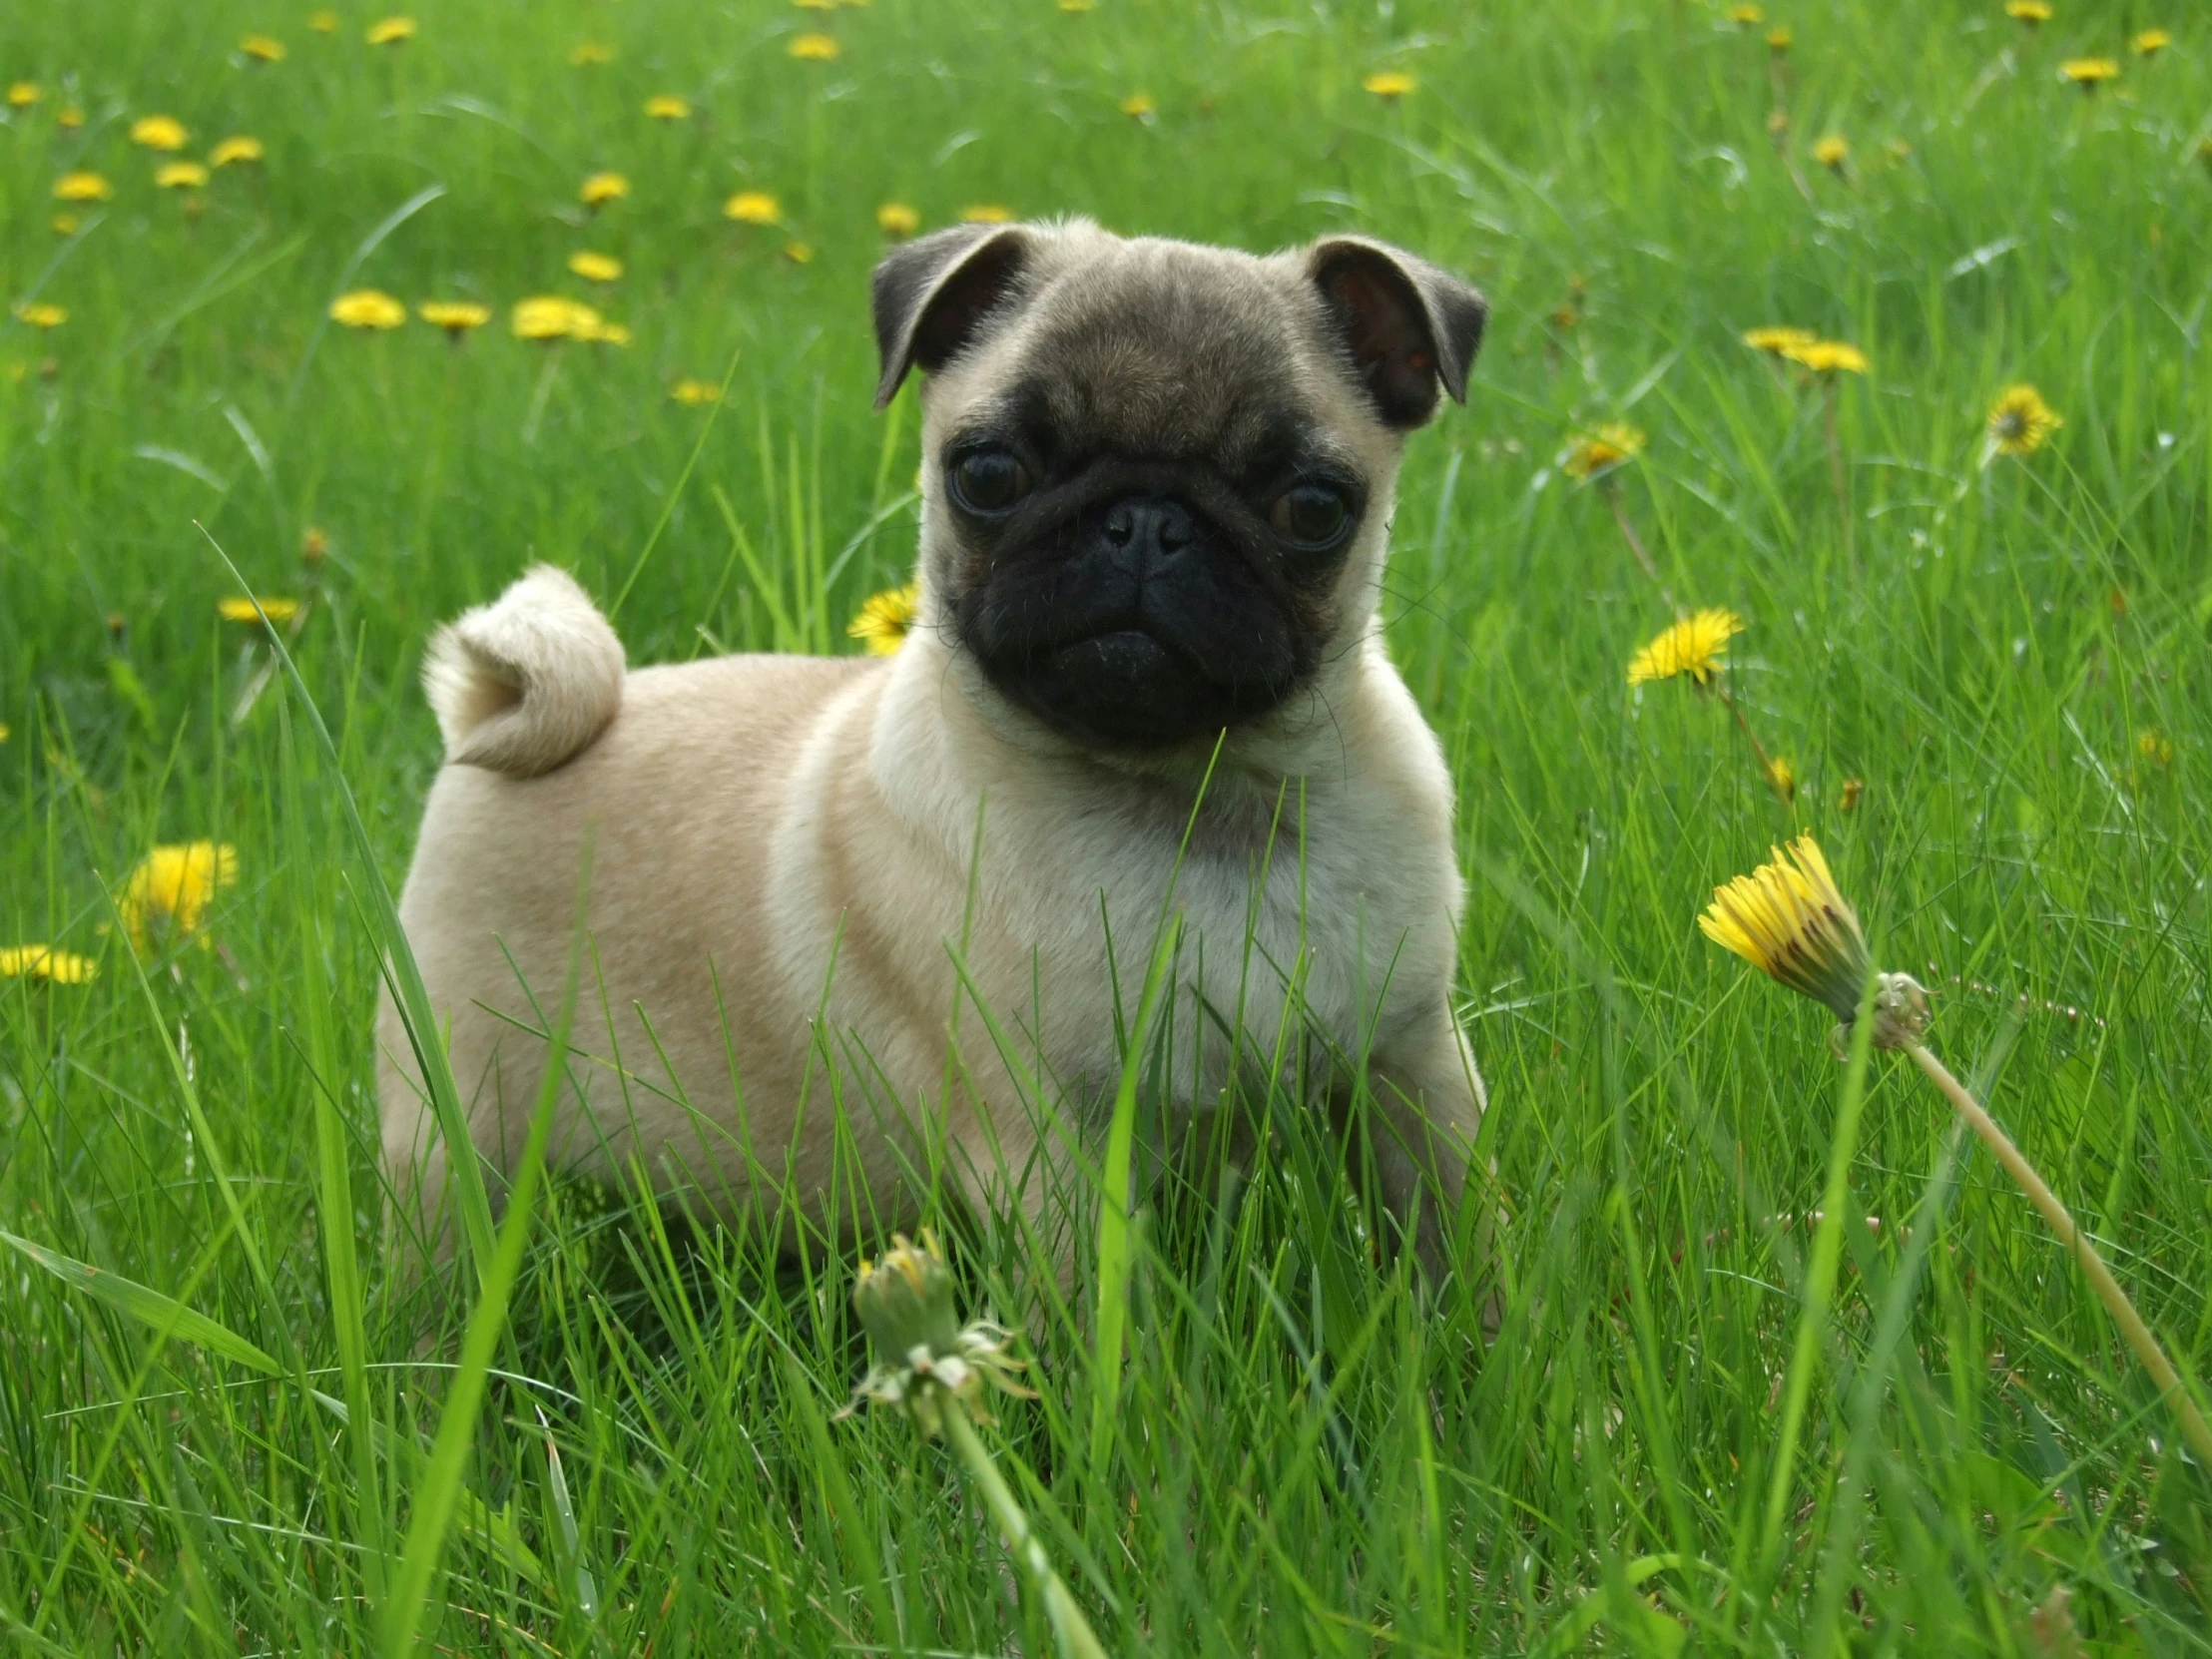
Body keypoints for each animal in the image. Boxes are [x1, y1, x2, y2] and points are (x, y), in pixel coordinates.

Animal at [375, 221, 1486, 1283]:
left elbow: (1457, 1244)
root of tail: (492, 711)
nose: (1144, 522)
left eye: (1314, 505)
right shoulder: (1045, 1154)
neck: (1193, 798)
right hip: (446, 1136)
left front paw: (1466, 1339)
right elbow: (1093, 1321)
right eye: (987, 474)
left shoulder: (1415, 1069)